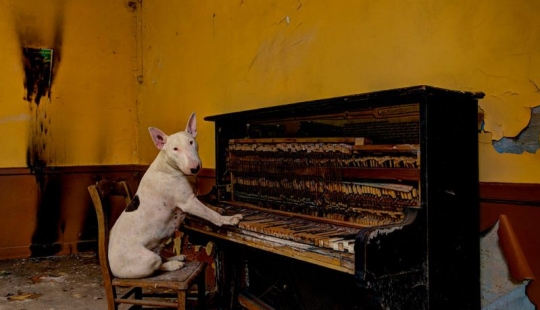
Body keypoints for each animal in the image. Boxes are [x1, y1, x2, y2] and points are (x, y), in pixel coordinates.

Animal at [107, 111, 243, 278]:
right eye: (175, 149)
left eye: (191, 142)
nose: (194, 168)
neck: (169, 166)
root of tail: (111, 269)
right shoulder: (188, 202)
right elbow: (211, 215)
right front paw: (229, 219)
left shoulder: (194, 197)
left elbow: (207, 205)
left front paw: (219, 208)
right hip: (147, 259)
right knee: (158, 266)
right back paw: (174, 264)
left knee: (161, 256)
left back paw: (175, 257)